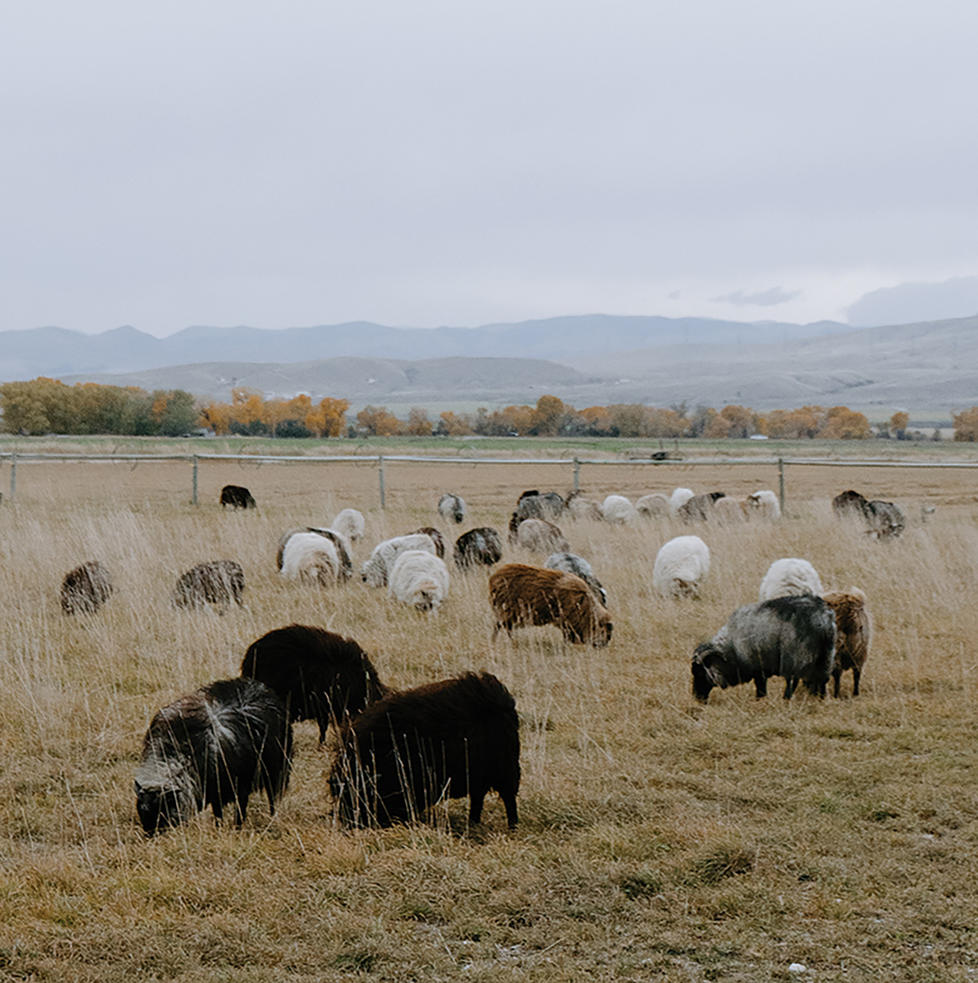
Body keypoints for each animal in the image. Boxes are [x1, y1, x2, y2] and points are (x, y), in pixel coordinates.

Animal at [135, 680, 292, 836]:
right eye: (142, 810)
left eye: (163, 810)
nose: (151, 835)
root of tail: (260, 686)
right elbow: (219, 813)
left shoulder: (229, 787)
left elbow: (231, 811)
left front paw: (231, 829)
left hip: (274, 771)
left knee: (270, 800)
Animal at [328, 668, 520, 832]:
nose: (350, 823)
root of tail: (500, 697)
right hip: (480, 775)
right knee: (478, 799)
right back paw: (473, 823)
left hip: (505, 771)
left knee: (508, 799)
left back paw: (512, 827)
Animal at [692, 596, 836, 704]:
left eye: (700, 673)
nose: (697, 698)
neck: (732, 648)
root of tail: (822, 620)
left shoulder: (758, 667)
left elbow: (760, 686)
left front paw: (759, 700)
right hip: (826, 655)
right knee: (822, 678)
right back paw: (821, 698)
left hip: (795, 656)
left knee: (793, 680)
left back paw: (786, 698)